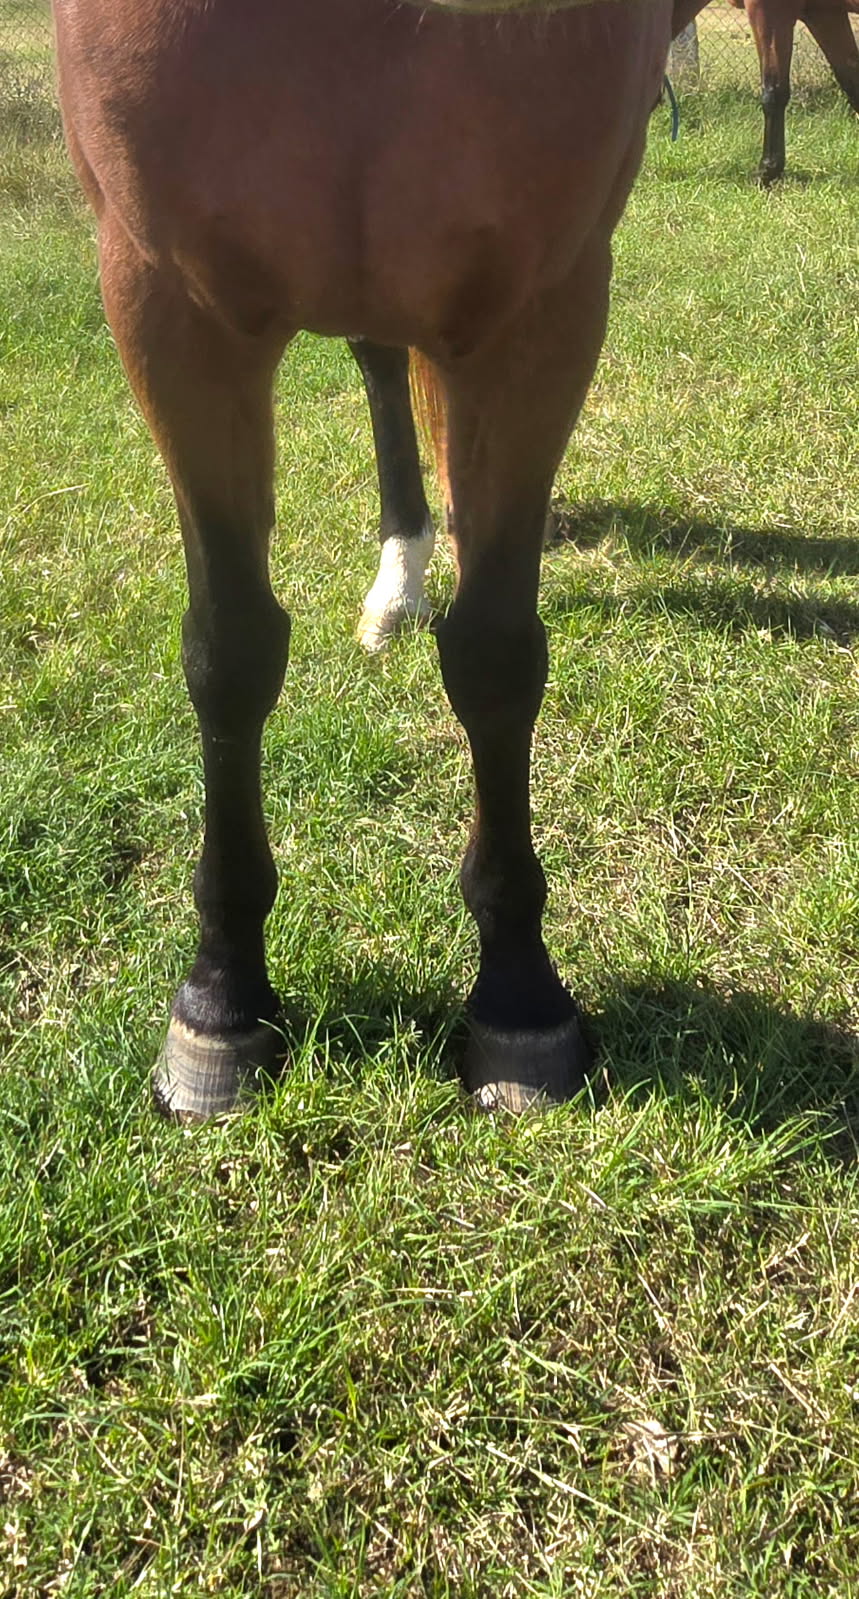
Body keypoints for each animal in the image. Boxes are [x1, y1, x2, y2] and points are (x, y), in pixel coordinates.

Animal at [52, 0, 671, 1120]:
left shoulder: (543, 307)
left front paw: (519, 996)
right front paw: (222, 997)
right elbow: (231, 652)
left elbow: (496, 657)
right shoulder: (167, 303)